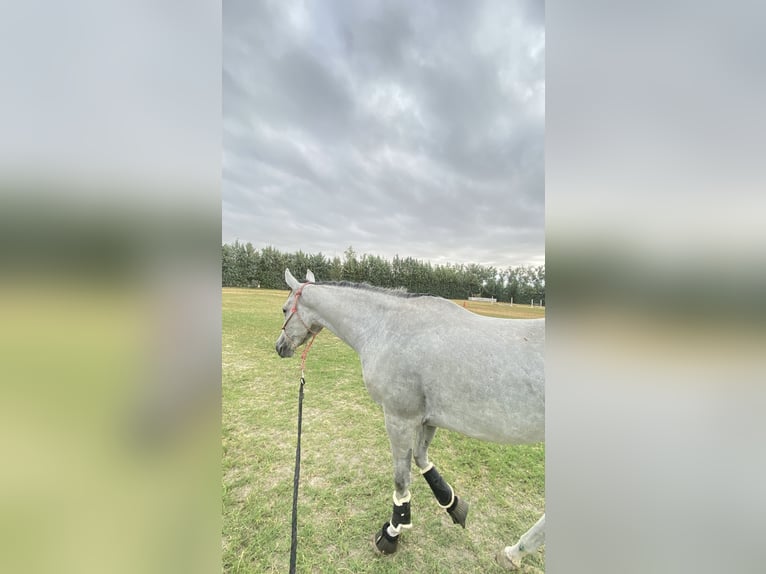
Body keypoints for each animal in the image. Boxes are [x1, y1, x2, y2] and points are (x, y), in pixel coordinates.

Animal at [275, 268, 545, 569]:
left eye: (284, 309)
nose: (280, 347)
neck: (386, 328)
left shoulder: (398, 419)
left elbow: (401, 479)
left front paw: (392, 532)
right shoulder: (427, 420)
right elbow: (421, 460)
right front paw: (452, 504)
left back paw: (514, 552)